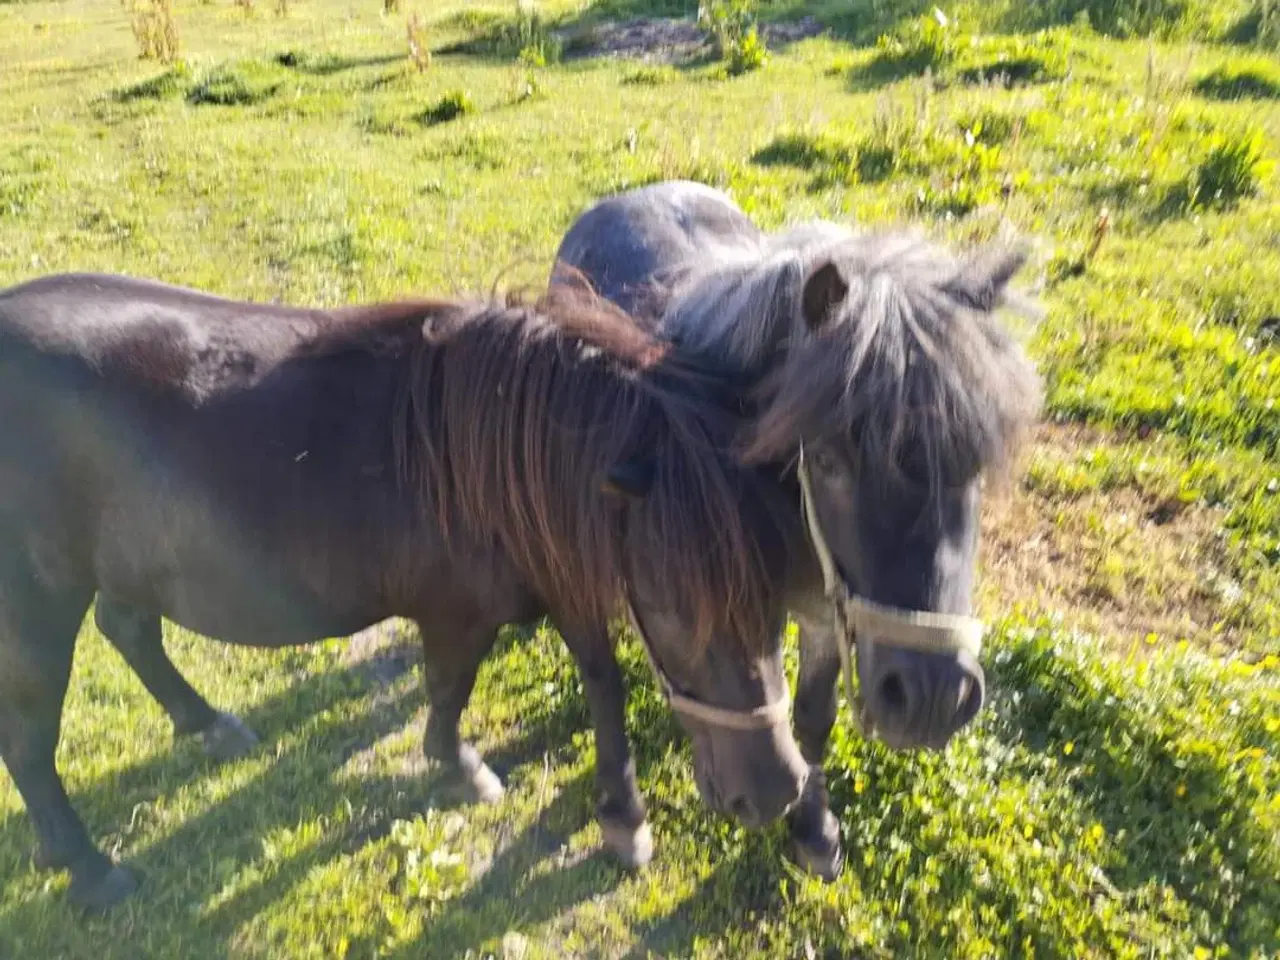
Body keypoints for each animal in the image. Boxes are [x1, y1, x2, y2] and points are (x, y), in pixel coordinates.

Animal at [0, 273, 803, 911]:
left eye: (781, 597)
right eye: (676, 607)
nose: (776, 793)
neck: (489, 449)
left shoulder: (562, 565)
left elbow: (602, 677)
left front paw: (624, 817)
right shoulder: (459, 614)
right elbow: (449, 693)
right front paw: (461, 770)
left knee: (129, 629)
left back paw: (204, 725)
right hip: (40, 601)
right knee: (32, 741)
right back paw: (90, 869)